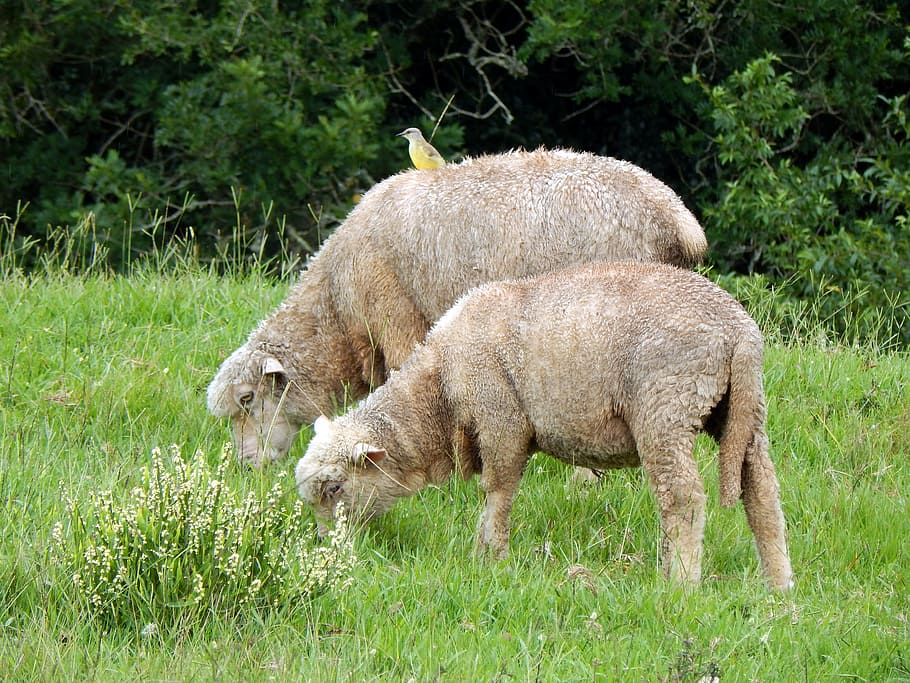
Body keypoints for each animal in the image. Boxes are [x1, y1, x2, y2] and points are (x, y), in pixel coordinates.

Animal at [294, 262, 794, 590]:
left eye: (335, 488)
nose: (326, 550)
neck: (438, 391)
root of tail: (737, 329)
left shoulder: (500, 419)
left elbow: (497, 491)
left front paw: (492, 558)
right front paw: (483, 555)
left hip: (666, 406)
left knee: (684, 498)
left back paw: (681, 587)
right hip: (745, 409)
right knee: (762, 494)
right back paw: (779, 590)